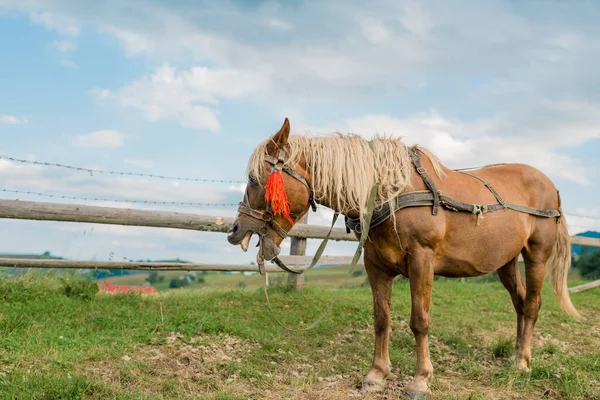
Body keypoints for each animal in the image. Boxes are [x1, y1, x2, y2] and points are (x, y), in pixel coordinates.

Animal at [226, 117, 580, 396]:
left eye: (255, 179)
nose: (236, 230)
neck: (391, 193)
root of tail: (551, 185)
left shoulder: (422, 261)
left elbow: (419, 321)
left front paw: (421, 379)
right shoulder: (376, 266)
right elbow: (381, 319)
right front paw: (376, 375)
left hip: (536, 255)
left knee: (531, 305)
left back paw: (522, 362)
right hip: (505, 261)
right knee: (519, 302)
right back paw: (518, 354)